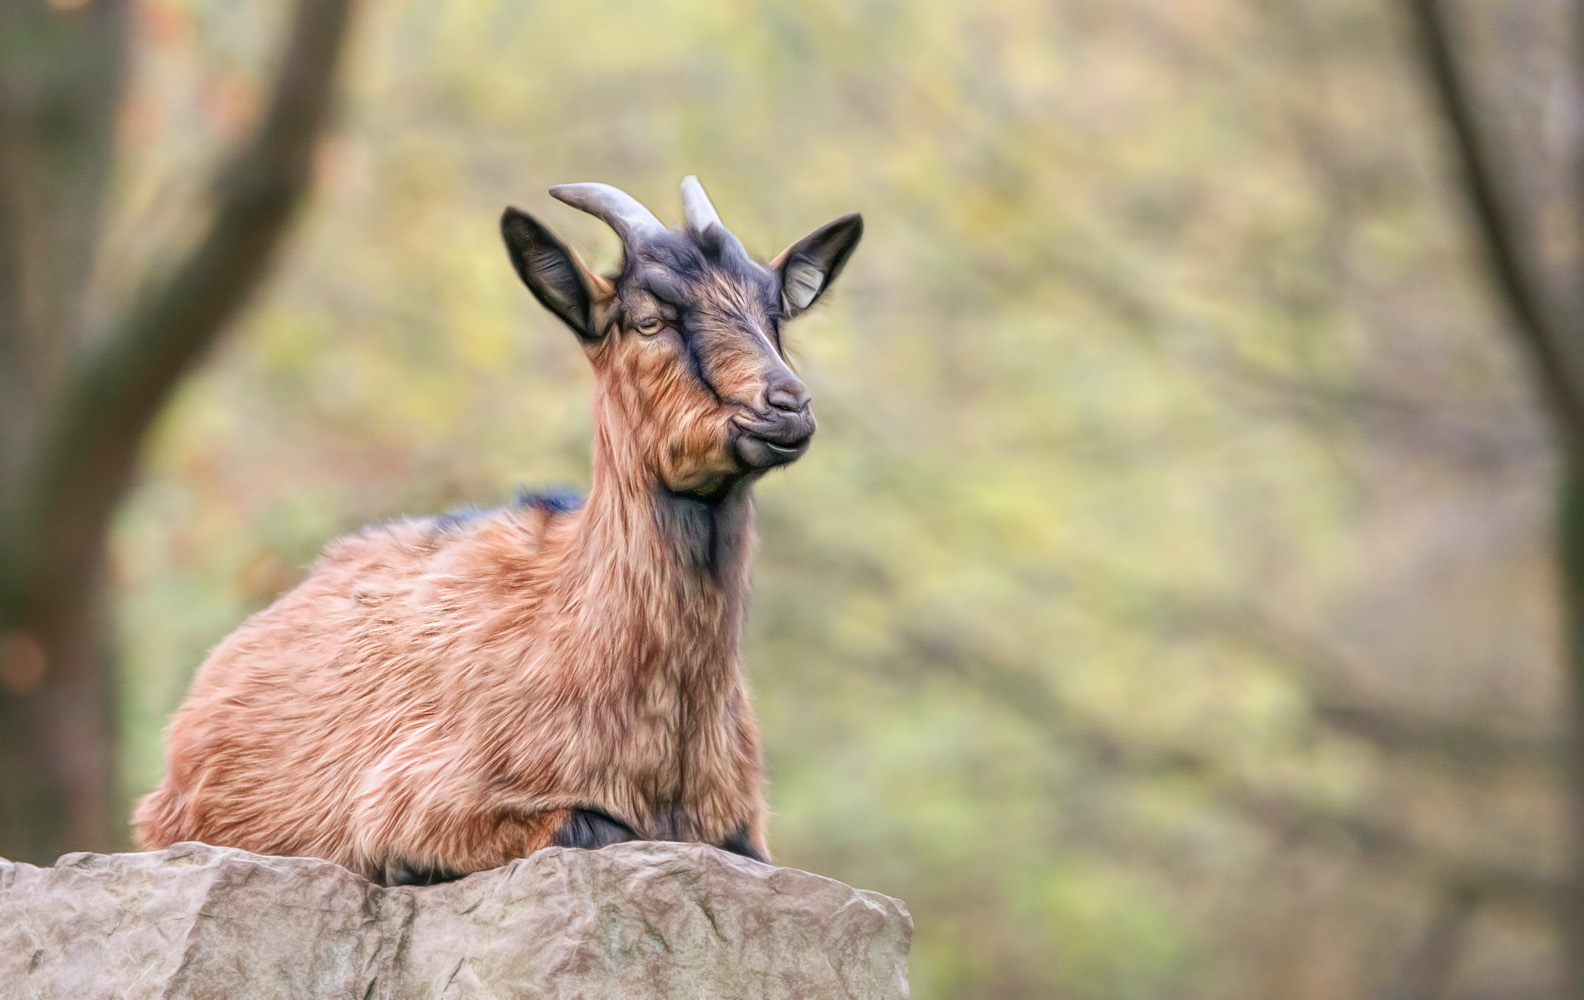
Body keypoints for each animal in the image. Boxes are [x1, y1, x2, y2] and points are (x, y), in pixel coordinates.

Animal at [129, 178, 861, 881]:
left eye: (774, 316)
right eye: (649, 320)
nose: (787, 406)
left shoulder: (744, 832)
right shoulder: (416, 800)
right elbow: (592, 828)